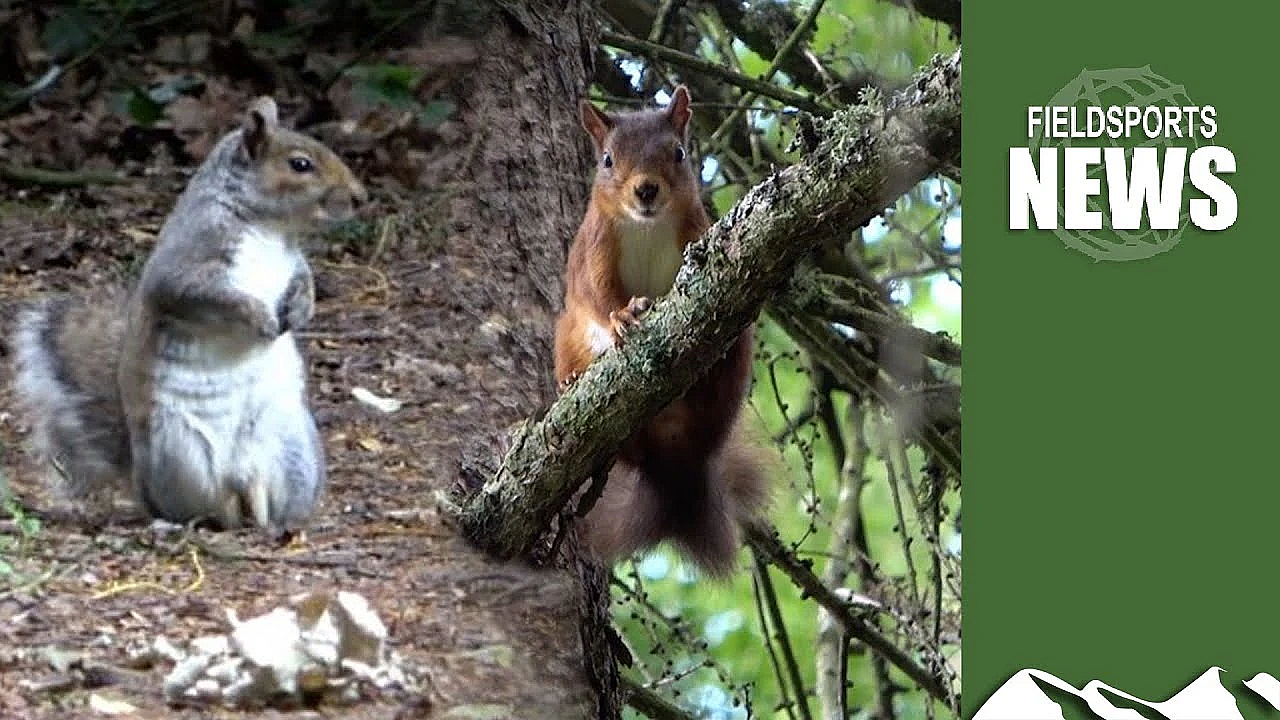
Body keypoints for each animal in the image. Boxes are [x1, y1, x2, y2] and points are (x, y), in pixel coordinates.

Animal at [11, 96, 366, 533]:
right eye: (300, 164)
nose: (359, 197)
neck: (270, 229)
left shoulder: (292, 261)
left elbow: (305, 280)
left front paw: (302, 309)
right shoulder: (187, 264)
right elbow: (208, 296)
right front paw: (261, 318)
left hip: (293, 449)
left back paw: (280, 522)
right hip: (178, 453)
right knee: (204, 509)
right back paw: (188, 522)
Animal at [554, 86, 772, 577]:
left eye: (679, 153)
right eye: (607, 160)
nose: (646, 189)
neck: (647, 227)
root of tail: (676, 465)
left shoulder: (696, 233)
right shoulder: (593, 249)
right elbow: (596, 294)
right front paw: (620, 317)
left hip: (736, 362)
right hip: (566, 339)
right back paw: (572, 382)